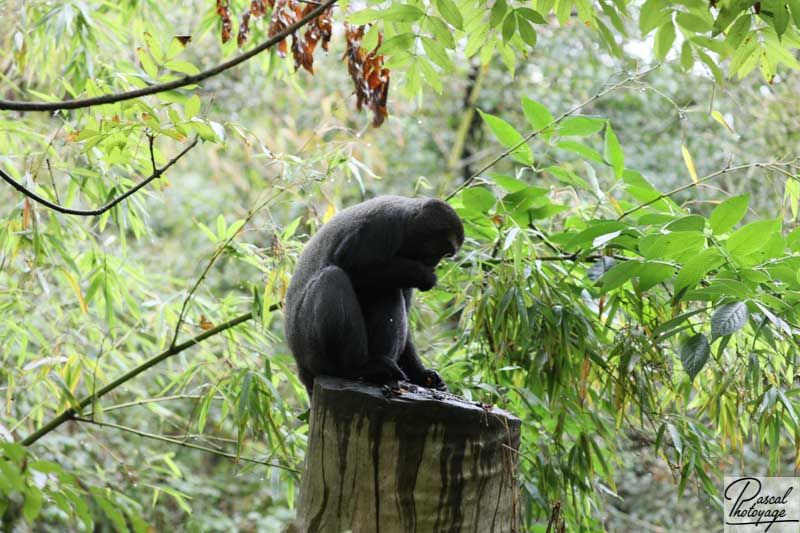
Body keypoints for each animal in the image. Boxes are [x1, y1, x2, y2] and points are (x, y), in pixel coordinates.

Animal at [286, 195, 462, 394]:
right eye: (440, 251)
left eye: (445, 254)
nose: (435, 263)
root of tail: (303, 370)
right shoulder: (382, 227)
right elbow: (351, 266)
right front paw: (423, 275)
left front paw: (421, 375)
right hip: (310, 347)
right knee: (335, 277)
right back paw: (358, 368)